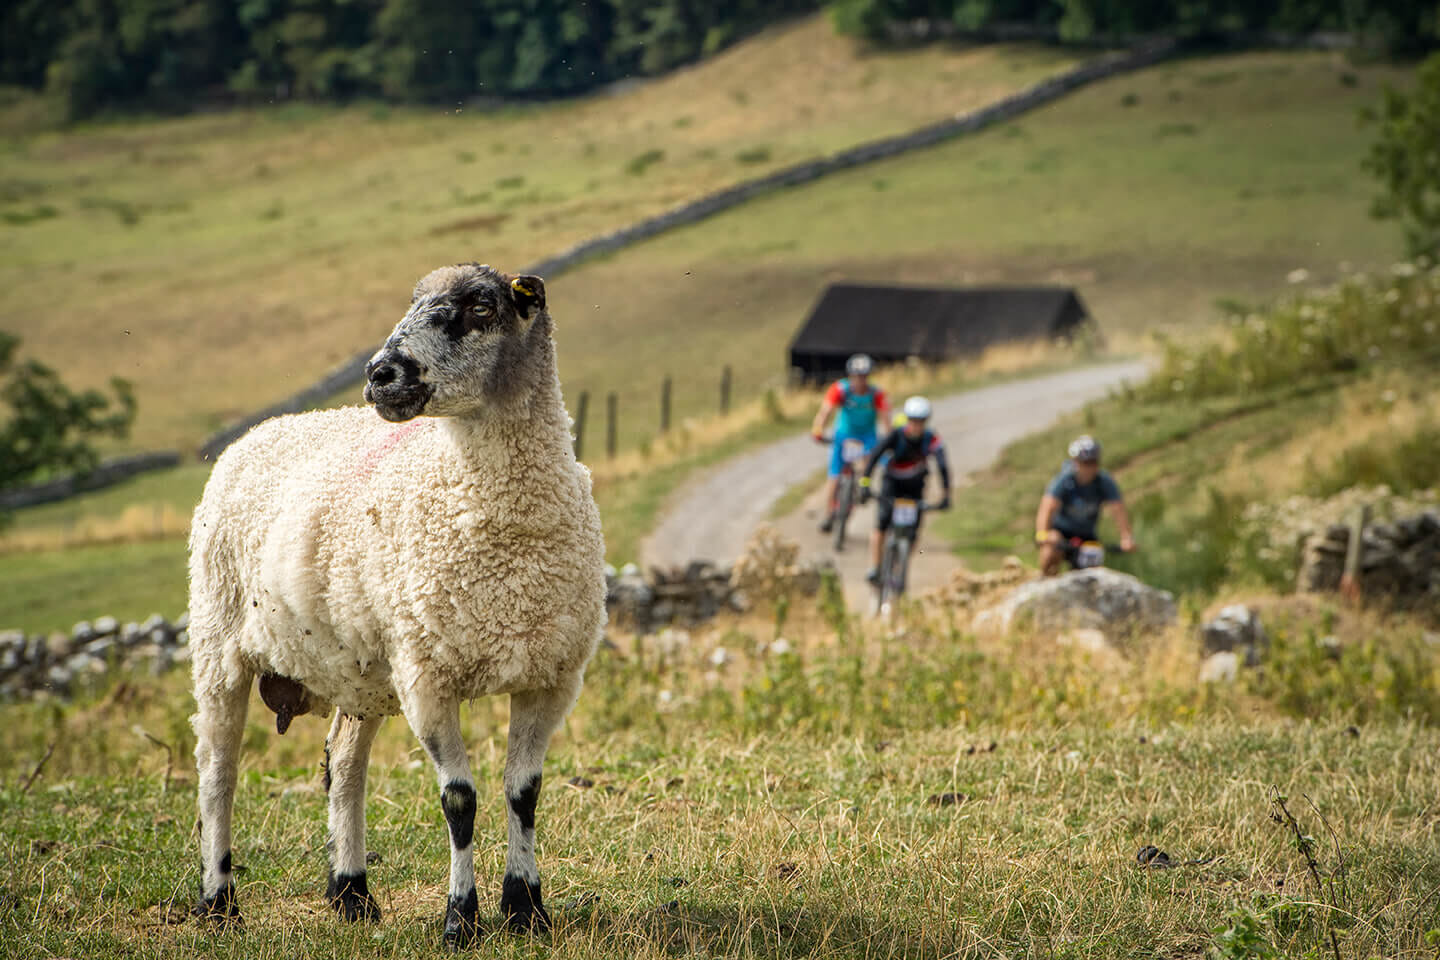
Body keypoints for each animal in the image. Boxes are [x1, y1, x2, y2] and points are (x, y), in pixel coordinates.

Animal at [184, 260, 601, 944]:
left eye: (481, 307)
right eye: (412, 302)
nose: (380, 374)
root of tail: (263, 429)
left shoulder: (550, 678)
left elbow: (523, 794)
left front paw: (527, 910)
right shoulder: (427, 680)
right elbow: (460, 801)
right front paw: (461, 919)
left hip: (362, 671)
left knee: (343, 766)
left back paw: (351, 894)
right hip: (217, 642)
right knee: (218, 772)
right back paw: (219, 902)